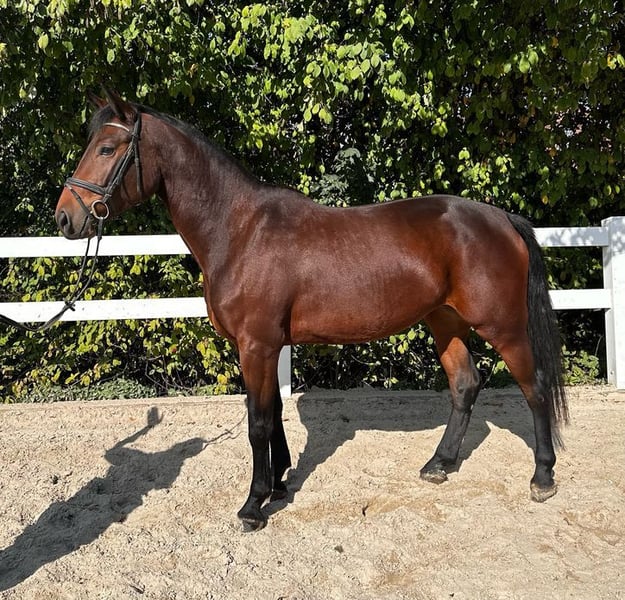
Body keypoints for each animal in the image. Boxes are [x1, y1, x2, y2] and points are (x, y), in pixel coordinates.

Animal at [55, 90, 568, 531]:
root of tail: (501, 218)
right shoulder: (267, 346)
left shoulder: (257, 346)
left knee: (534, 386)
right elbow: (274, 410)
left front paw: (254, 504)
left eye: (107, 148)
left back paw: (543, 477)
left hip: (503, 326)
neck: (239, 231)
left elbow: (258, 421)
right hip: (444, 321)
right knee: (465, 385)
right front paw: (279, 483)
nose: (65, 217)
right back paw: (438, 464)